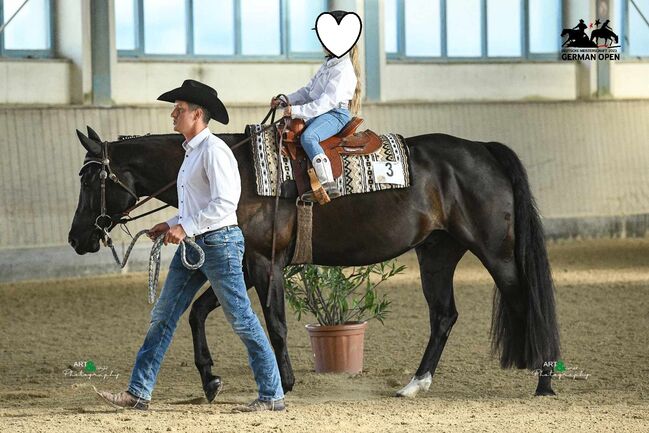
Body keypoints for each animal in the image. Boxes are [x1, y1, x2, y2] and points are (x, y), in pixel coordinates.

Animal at [68, 124, 560, 398]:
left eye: (91, 180)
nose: (76, 238)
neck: (238, 172)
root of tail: (483, 148)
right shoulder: (244, 265)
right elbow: (200, 312)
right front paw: (210, 380)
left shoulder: (264, 264)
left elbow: (274, 323)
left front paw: (283, 383)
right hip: (437, 253)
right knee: (444, 316)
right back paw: (414, 385)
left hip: (497, 254)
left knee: (527, 303)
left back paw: (545, 380)